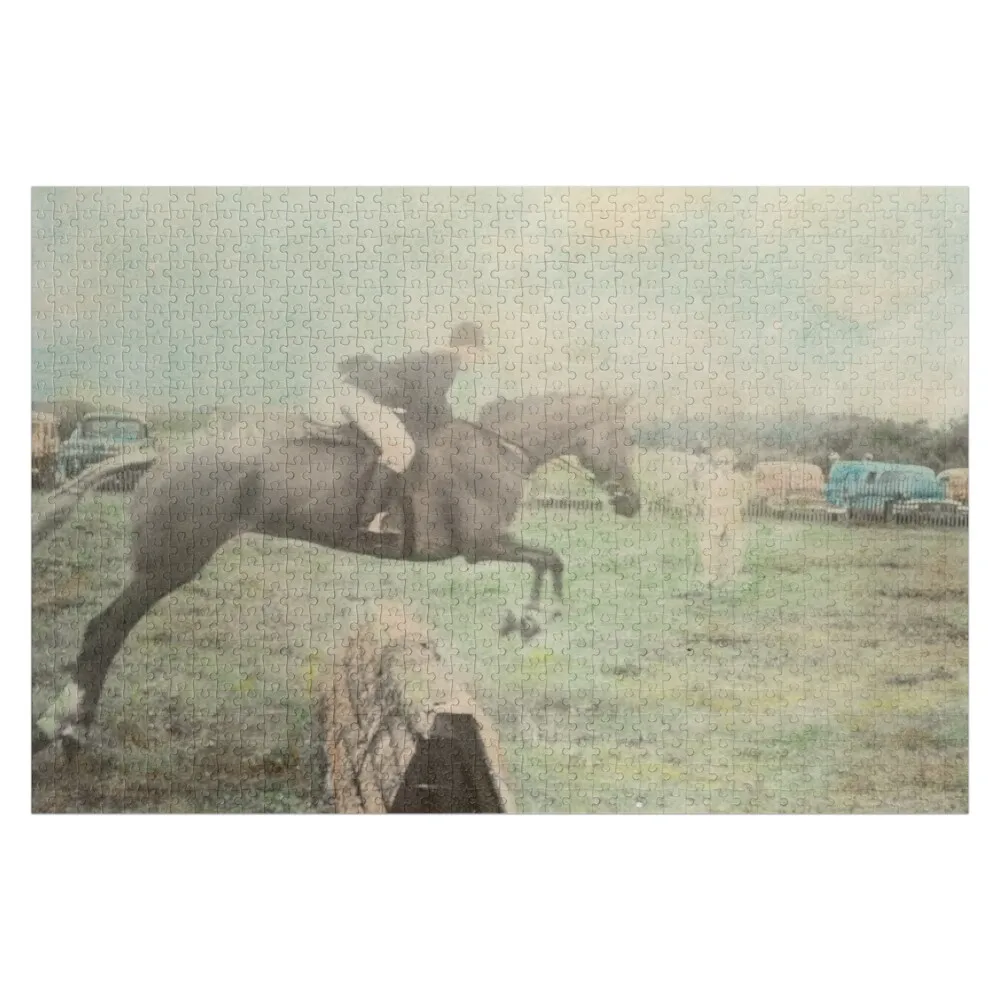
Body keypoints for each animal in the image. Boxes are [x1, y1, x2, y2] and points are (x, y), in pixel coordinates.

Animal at [31, 392, 640, 756]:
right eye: (623, 438)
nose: (632, 504)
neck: (500, 449)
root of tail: (162, 456)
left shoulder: (492, 544)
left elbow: (549, 558)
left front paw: (525, 619)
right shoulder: (480, 544)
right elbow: (551, 557)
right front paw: (532, 619)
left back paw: (69, 726)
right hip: (171, 563)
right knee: (105, 630)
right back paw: (63, 728)